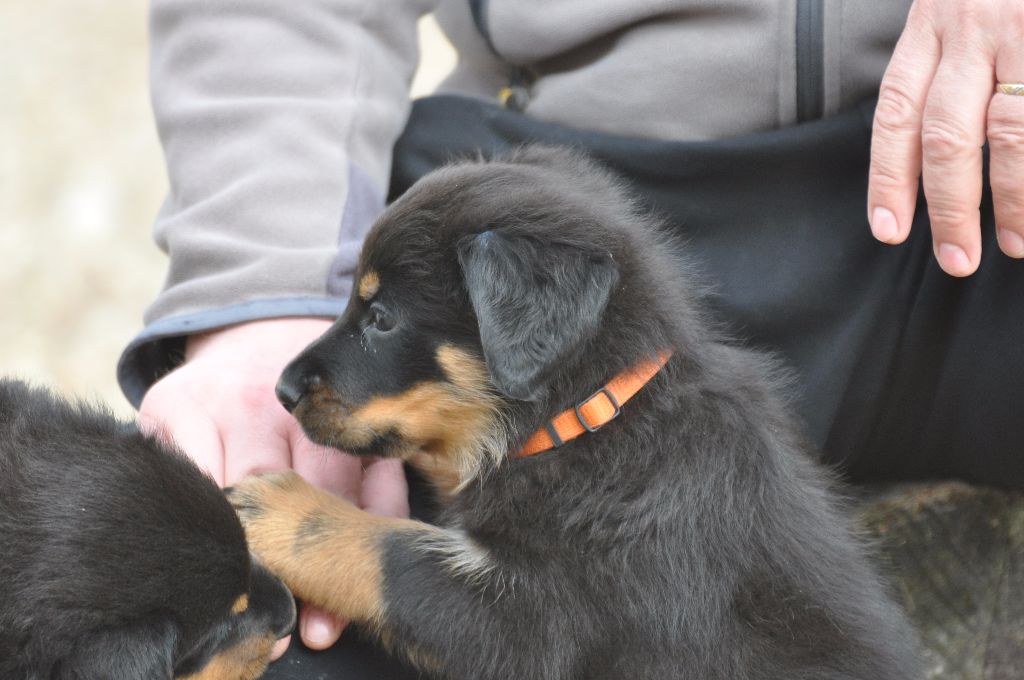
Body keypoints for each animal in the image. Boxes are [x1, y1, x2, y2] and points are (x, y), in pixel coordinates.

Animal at [227, 147, 921, 679]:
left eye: (381, 318)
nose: (282, 391)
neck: (592, 420)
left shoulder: (534, 621)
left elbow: (389, 552)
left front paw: (274, 511)